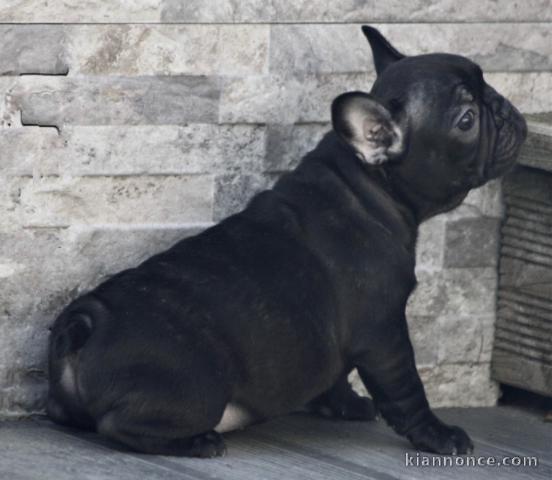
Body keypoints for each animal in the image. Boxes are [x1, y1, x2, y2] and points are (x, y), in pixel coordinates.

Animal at [46, 26, 528, 458]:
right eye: (467, 120)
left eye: (486, 82)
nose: (503, 107)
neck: (369, 184)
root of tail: (85, 325)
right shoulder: (385, 333)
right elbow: (407, 390)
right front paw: (438, 435)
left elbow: (337, 375)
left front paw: (345, 405)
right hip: (200, 387)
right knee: (119, 425)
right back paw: (198, 442)